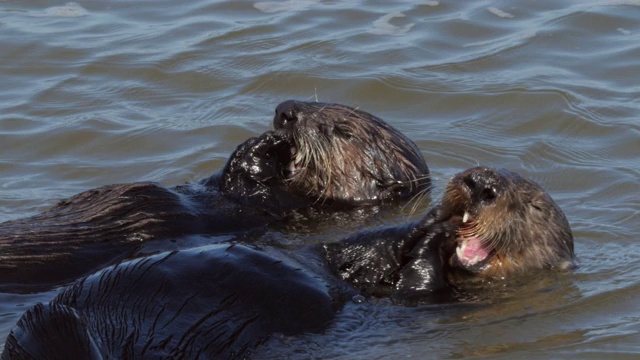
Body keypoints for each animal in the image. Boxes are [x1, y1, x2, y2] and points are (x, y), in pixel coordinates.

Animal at [2, 167, 576, 358]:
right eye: (478, 171)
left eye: (532, 207)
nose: (480, 185)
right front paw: (434, 220)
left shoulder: (429, 301)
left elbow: (419, 283)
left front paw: (433, 235)